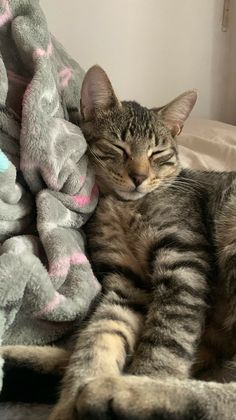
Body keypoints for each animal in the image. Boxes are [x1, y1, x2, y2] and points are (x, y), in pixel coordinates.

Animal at [1, 66, 236, 420]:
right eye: (118, 146)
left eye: (158, 154)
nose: (139, 176)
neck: (126, 209)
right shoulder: (126, 283)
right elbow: (98, 337)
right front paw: (73, 397)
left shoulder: (184, 261)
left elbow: (166, 339)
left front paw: (149, 377)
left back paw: (120, 393)